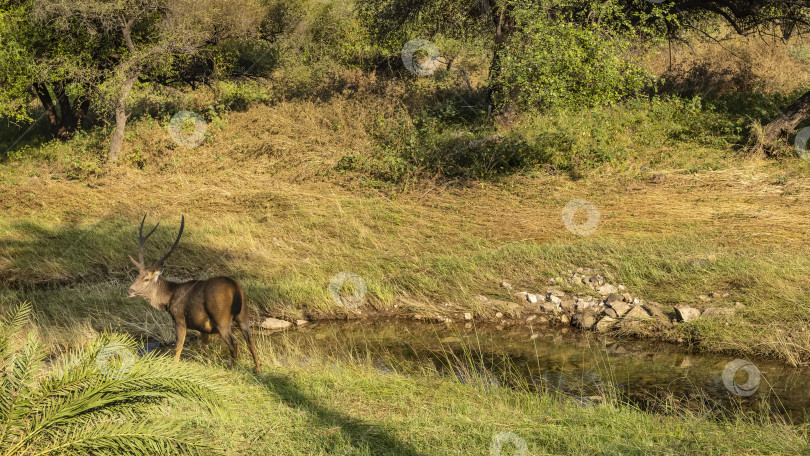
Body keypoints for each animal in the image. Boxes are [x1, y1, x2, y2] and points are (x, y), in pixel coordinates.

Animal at [127, 216, 258, 372]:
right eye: (137, 276)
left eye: (146, 279)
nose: (130, 290)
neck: (169, 298)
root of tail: (236, 287)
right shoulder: (203, 327)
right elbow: (205, 349)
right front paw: (208, 367)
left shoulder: (179, 318)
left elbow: (179, 346)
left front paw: (174, 366)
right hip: (243, 314)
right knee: (250, 341)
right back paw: (258, 370)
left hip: (222, 318)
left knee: (234, 343)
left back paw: (233, 369)